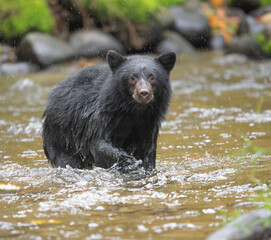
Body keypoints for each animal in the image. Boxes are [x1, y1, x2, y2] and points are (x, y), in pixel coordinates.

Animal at [41, 50, 175, 171]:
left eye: (152, 77)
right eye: (132, 77)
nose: (144, 93)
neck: (135, 111)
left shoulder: (149, 123)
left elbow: (148, 151)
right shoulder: (105, 116)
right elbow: (99, 143)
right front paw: (129, 161)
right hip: (62, 136)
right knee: (66, 160)